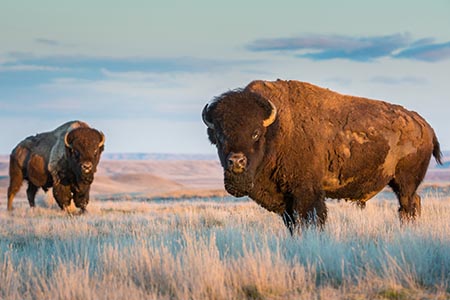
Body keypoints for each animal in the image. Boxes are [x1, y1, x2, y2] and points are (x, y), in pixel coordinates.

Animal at [202, 79, 442, 232]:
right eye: (220, 135)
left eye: (255, 133)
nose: (236, 161)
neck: (276, 129)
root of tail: (425, 126)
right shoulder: (286, 201)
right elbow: (293, 223)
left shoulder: (307, 192)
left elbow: (313, 219)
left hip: (405, 182)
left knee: (408, 205)